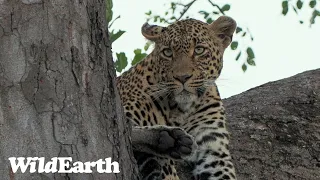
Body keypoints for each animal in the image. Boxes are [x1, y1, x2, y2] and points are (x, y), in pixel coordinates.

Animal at [116, 15, 236, 180]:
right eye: (167, 52)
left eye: (199, 50)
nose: (182, 77)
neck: (181, 110)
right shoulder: (124, 108)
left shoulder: (213, 148)